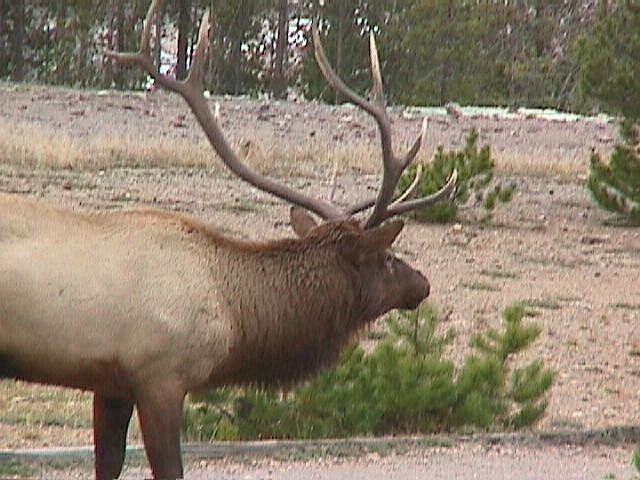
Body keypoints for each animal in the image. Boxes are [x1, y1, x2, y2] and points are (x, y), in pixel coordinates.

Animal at [1, 1, 456, 478]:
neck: (234, 317)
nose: (422, 282)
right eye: (386, 256)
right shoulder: (160, 377)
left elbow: (108, 464)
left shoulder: (111, 383)